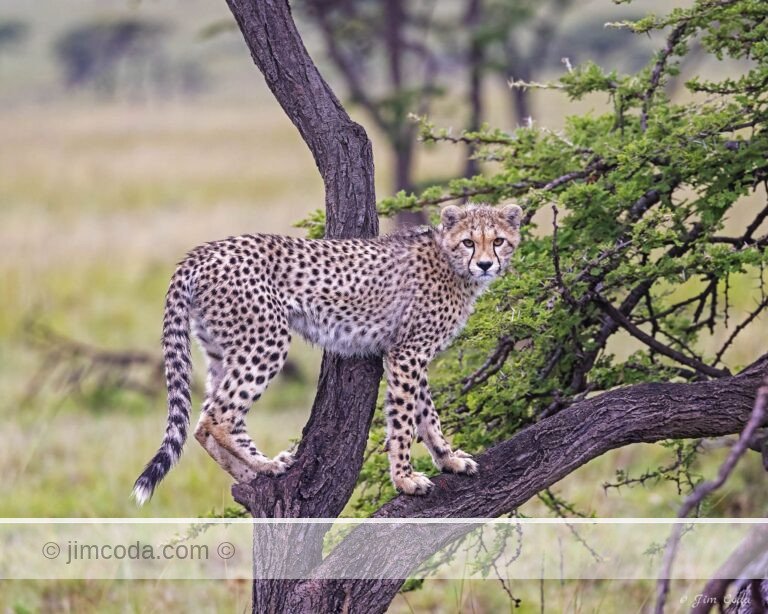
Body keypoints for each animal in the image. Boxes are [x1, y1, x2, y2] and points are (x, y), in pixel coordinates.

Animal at [132, 203, 522, 504]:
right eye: (469, 242)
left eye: (498, 241)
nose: (485, 264)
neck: (449, 261)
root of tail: (206, 249)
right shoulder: (407, 353)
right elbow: (403, 421)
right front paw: (405, 479)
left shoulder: (408, 352)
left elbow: (427, 415)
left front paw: (449, 459)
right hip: (267, 339)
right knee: (219, 415)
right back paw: (264, 466)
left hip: (222, 346)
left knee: (204, 422)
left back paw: (251, 474)